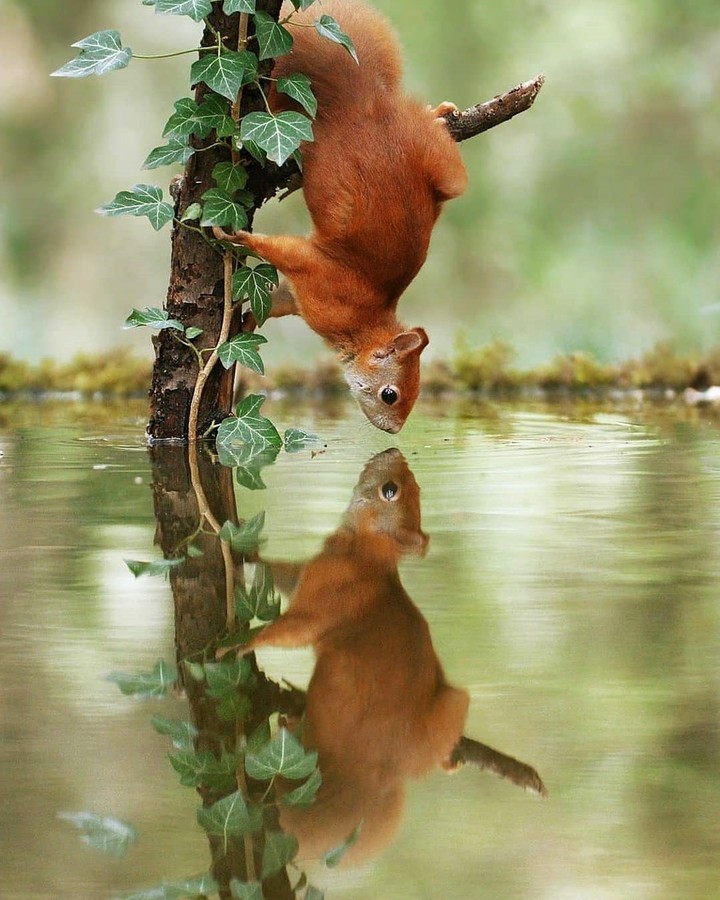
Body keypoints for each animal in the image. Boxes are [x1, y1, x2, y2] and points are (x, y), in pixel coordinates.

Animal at [217, 0, 468, 433]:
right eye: (390, 394)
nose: (394, 430)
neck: (366, 320)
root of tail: (362, 98)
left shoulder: (298, 294)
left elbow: (275, 302)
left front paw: (247, 322)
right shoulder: (318, 272)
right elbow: (280, 250)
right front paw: (233, 237)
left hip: (442, 170)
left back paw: (438, 113)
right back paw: (438, 113)